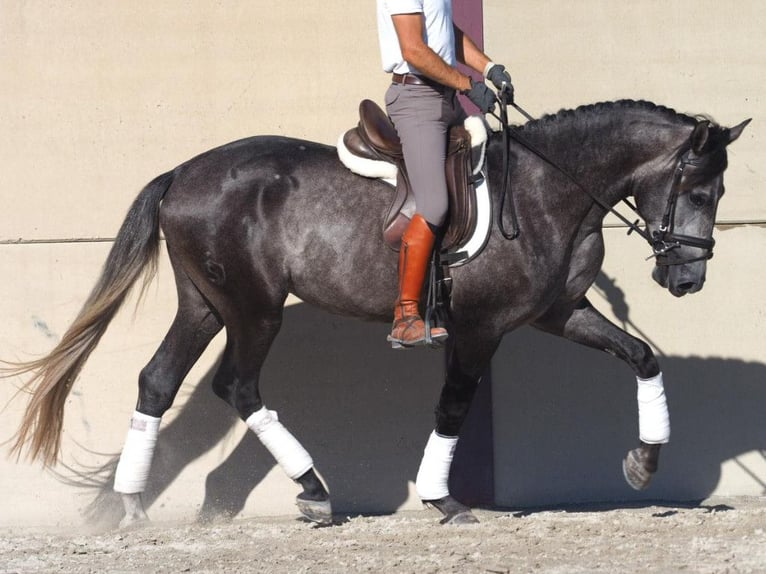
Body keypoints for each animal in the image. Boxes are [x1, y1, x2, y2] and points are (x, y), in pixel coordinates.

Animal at [6, 98, 752, 528]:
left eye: (718, 194)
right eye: (698, 190)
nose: (687, 278)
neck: (547, 189)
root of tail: (182, 174)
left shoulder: (558, 312)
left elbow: (643, 355)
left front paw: (643, 465)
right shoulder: (480, 328)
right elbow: (454, 406)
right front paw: (443, 500)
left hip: (205, 305)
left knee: (158, 382)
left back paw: (130, 505)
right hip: (255, 308)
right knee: (236, 385)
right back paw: (312, 490)